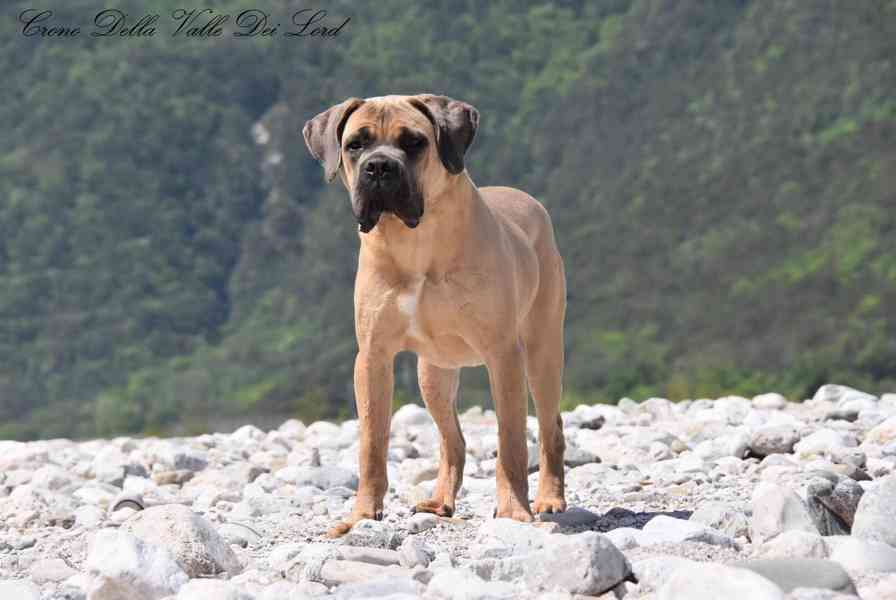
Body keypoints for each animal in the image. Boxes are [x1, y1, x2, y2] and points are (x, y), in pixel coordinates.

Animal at [302, 95, 568, 540]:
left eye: (414, 142)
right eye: (356, 144)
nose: (379, 167)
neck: (415, 242)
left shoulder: (503, 356)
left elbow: (511, 442)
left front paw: (514, 510)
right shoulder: (373, 357)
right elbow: (371, 443)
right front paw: (361, 515)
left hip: (541, 355)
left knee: (550, 428)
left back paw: (550, 498)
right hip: (434, 376)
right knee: (452, 440)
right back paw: (441, 500)